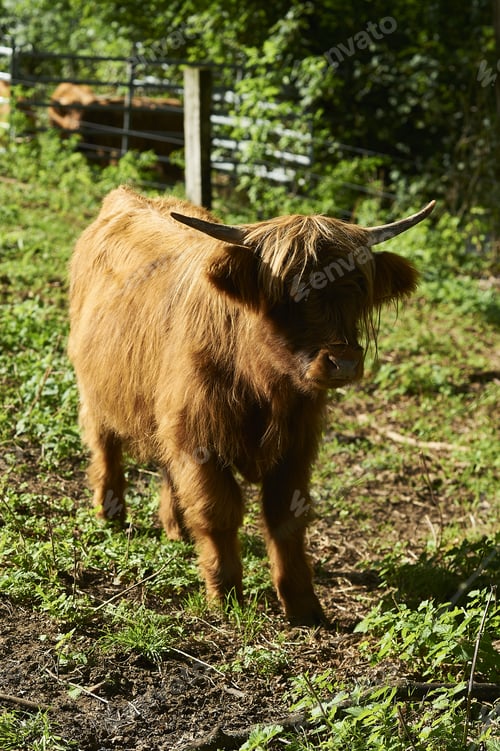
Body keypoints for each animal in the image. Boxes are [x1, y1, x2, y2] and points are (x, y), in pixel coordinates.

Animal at [68, 186, 435, 625]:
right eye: (287, 295)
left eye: (358, 290)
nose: (343, 361)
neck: (264, 385)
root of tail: (128, 195)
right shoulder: (198, 438)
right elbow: (217, 512)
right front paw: (224, 597)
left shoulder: (296, 444)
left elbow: (287, 518)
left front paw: (303, 605)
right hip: (95, 388)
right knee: (104, 445)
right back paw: (110, 513)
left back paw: (177, 529)